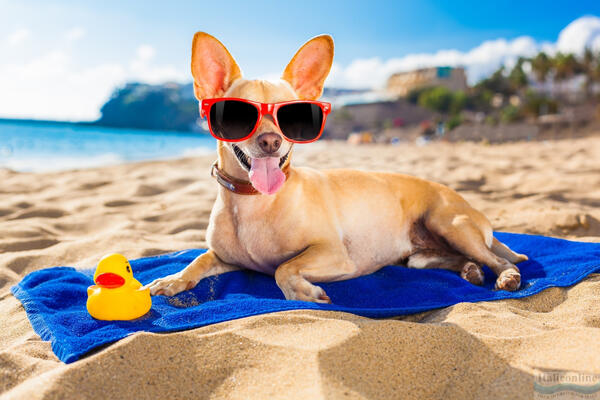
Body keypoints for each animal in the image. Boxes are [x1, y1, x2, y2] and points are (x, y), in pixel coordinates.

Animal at [148, 32, 528, 304]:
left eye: (292, 116)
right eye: (238, 115)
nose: (271, 141)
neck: (253, 202)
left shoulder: (333, 254)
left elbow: (283, 268)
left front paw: (303, 292)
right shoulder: (224, 257)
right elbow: (197, 260)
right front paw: (173, 279)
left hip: (449, 223)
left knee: (499, 259)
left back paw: (506, 276)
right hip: (419, 257)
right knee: (457, 260)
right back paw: (469, 271)